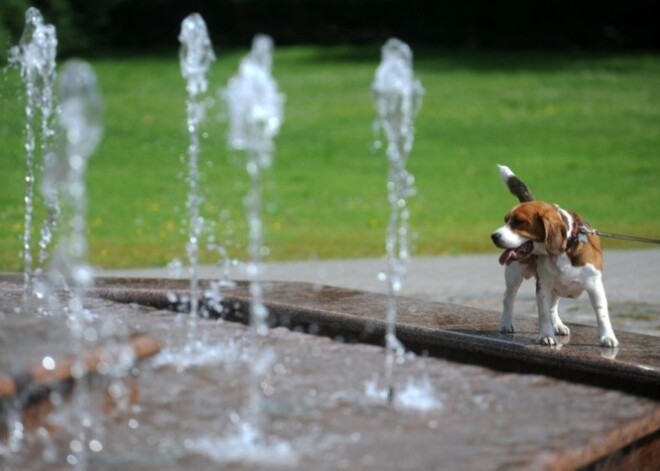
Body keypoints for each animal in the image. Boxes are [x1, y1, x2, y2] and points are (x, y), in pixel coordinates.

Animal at [490, 165, 620, 346]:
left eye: (518, 222)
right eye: (506, 220)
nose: (494, 236)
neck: (565, 249)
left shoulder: (595, 285)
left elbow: (601, 314)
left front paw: (607, 337)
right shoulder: (543, 285)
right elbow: (543, 313)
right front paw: (546, 335)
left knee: (553, 306)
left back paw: (557, 325)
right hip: (514, 274)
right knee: (508, 298)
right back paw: (506, 323)